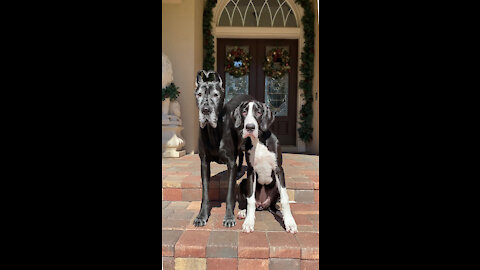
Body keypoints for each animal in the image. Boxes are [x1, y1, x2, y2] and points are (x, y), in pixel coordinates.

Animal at [195, 70, 246, 227]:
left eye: (216, 95)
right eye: (199, 94)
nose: (205, 110)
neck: (213, 131)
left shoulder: (230, 162)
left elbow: (230, 194)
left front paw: (229, 217)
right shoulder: (204, 163)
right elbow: (205, 193)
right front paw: (202, 215)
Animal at [232, 100, 296, 233]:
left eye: (259, 112)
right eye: (244, 111)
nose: (250, 127)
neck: (259, 142)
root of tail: (262, 205)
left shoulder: (279, 169)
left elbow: (285, 198)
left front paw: (290, 222)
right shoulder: (251, 171)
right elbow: (250, 200)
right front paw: (249, 222)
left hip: (275, 189)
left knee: (275, 207)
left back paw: (281, 215)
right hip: (244, 182)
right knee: (247, 201)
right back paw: (243, 212)